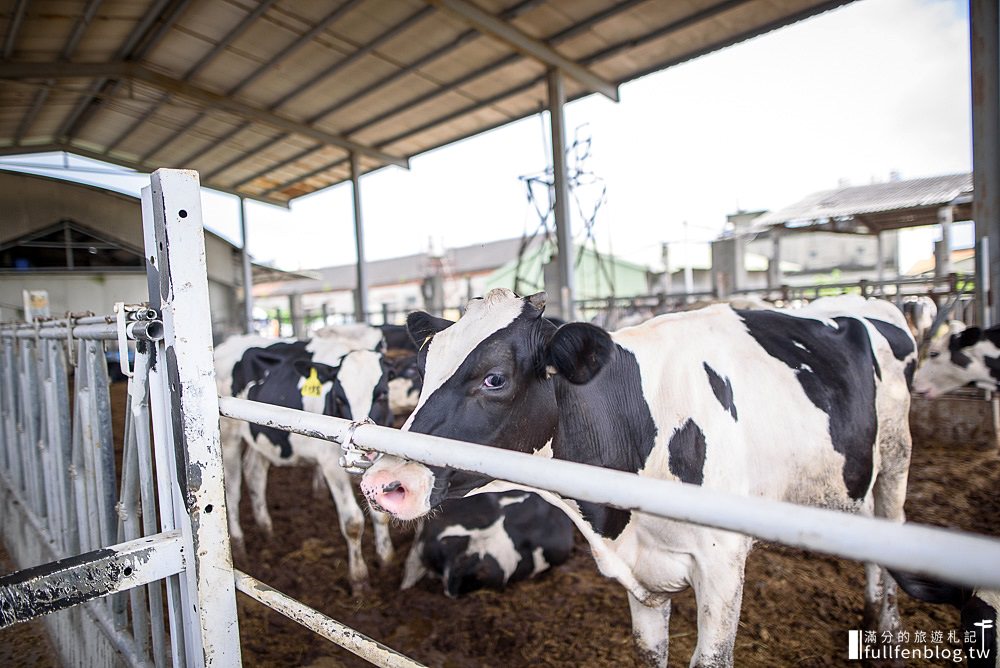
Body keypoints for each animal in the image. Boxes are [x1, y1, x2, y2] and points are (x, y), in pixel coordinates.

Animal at [217, 328, 396, 588]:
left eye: (383, 394)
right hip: (228, 437)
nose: (362, 452)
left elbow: (380, 514)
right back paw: (239, 549)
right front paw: (359, 579)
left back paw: (267, 532)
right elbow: (352, 522)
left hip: (261, 437)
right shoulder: (330, 465)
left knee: (255, 474)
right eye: (339, 399)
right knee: (231, 491)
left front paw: (386, 560)